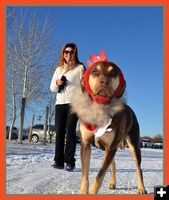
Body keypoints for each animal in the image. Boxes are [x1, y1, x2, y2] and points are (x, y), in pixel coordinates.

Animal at [70, 50, 147, 195]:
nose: (104, 81)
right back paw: (112, 182)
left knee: (138, 168)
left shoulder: (111, 146)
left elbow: (100, 174)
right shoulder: (86, 144)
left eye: (113, 73)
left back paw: (141, 188)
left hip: (133, 145)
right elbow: (85, 174)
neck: (100, 107)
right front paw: (84, 191)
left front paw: (92, 192)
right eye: (95, 71)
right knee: (113, 163)